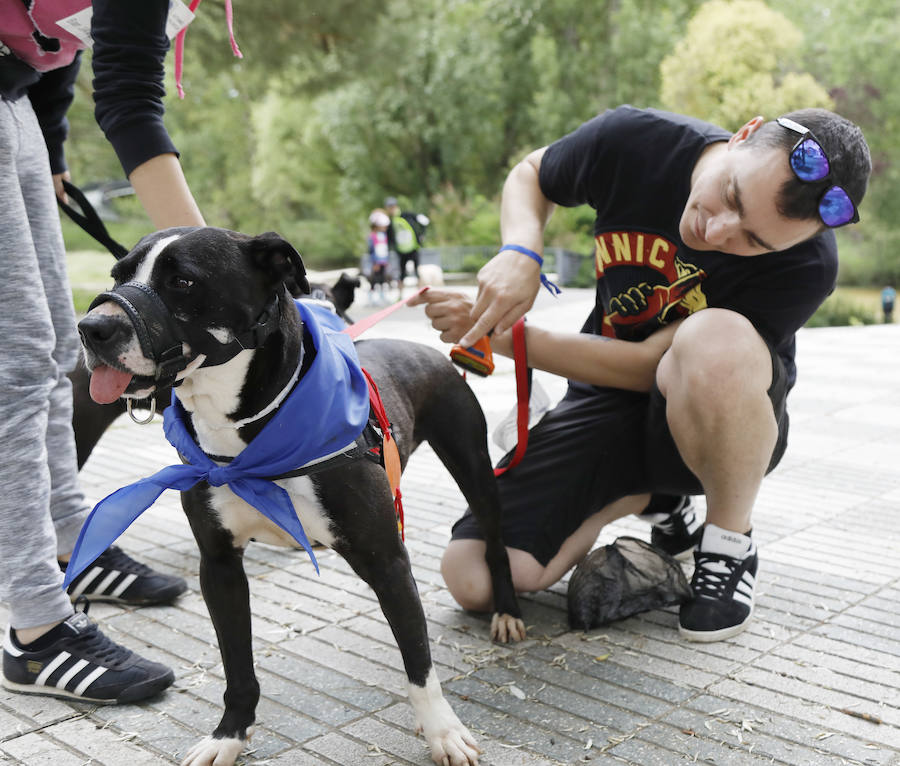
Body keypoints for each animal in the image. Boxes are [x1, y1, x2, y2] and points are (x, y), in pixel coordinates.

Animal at [81, 226, 528, 766]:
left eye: (183, 280)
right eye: (117, 275)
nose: (90, 328)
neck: (248, 433)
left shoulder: (387, 560)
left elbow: (419, 663)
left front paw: (443, 732)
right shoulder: (219, 566)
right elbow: (238, 667)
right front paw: (229, 736)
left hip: (474, 467)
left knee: (495, 543)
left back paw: (507, 612)